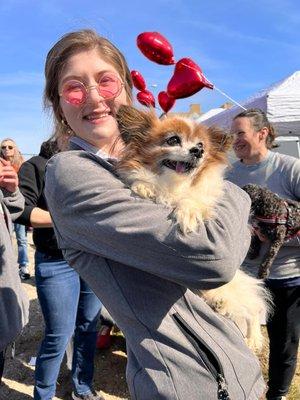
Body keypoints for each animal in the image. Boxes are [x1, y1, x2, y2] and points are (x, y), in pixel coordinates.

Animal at [115, 105, 272, 350]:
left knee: (254, 307)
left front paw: (188, 213)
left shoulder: (208, 194)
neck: (175, 185)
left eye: (201, 146)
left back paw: (252, 337)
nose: (197, 151)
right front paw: (145, 186)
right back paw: (219, 303)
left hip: (237, 287)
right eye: (173, 140)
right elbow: (144, 181)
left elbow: (196, 198)